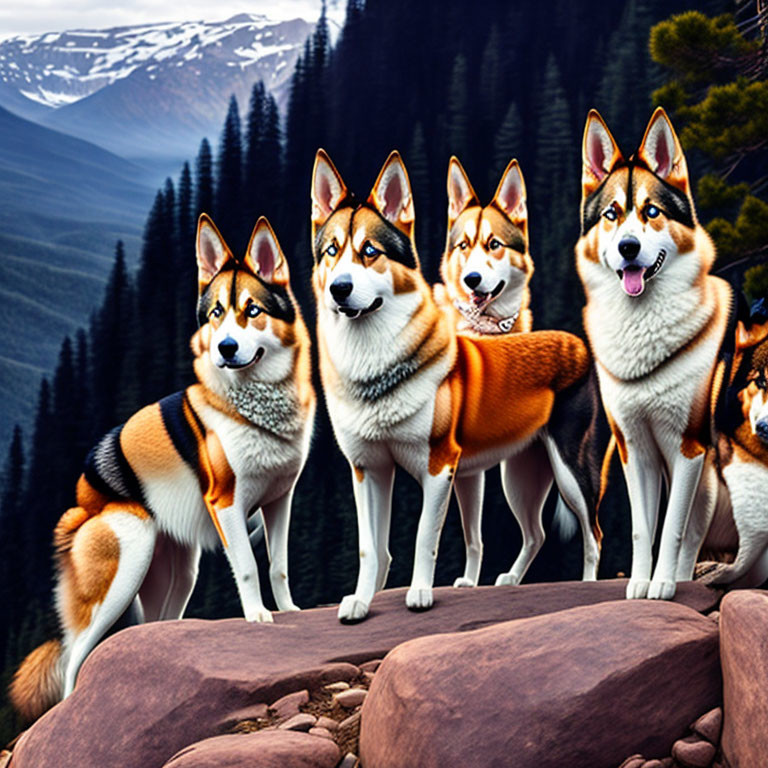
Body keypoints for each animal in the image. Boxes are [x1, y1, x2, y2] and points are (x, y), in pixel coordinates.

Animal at [308, 147, 604, 620]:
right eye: (332, 252)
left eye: (370, 251)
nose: (339, 289)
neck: (376, 370)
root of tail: (576, 341)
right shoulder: (368, 469)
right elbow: (372, 549)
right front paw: (360, 602)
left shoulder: (439, 467)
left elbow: (423, 538)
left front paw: (420, 595)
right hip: (518, 477)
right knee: (536, 533)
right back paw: (508, 580)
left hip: (569, 469)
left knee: (593, 531)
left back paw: (589, 586)